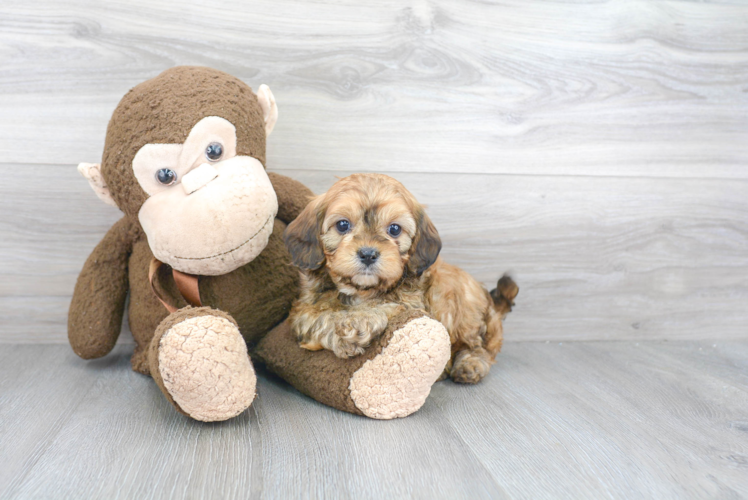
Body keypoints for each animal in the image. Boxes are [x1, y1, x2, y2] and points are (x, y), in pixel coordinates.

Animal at [284, 173, 516, 382]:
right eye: (342, 225)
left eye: (394, 229)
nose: (368, 254)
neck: (361, 290)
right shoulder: (304, 309)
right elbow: (319, 317)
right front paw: (350, 328)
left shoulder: (412, 304)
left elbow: (387, 306)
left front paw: (360, 320)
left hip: (463, 306)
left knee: (477, 347)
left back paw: (469, 364)